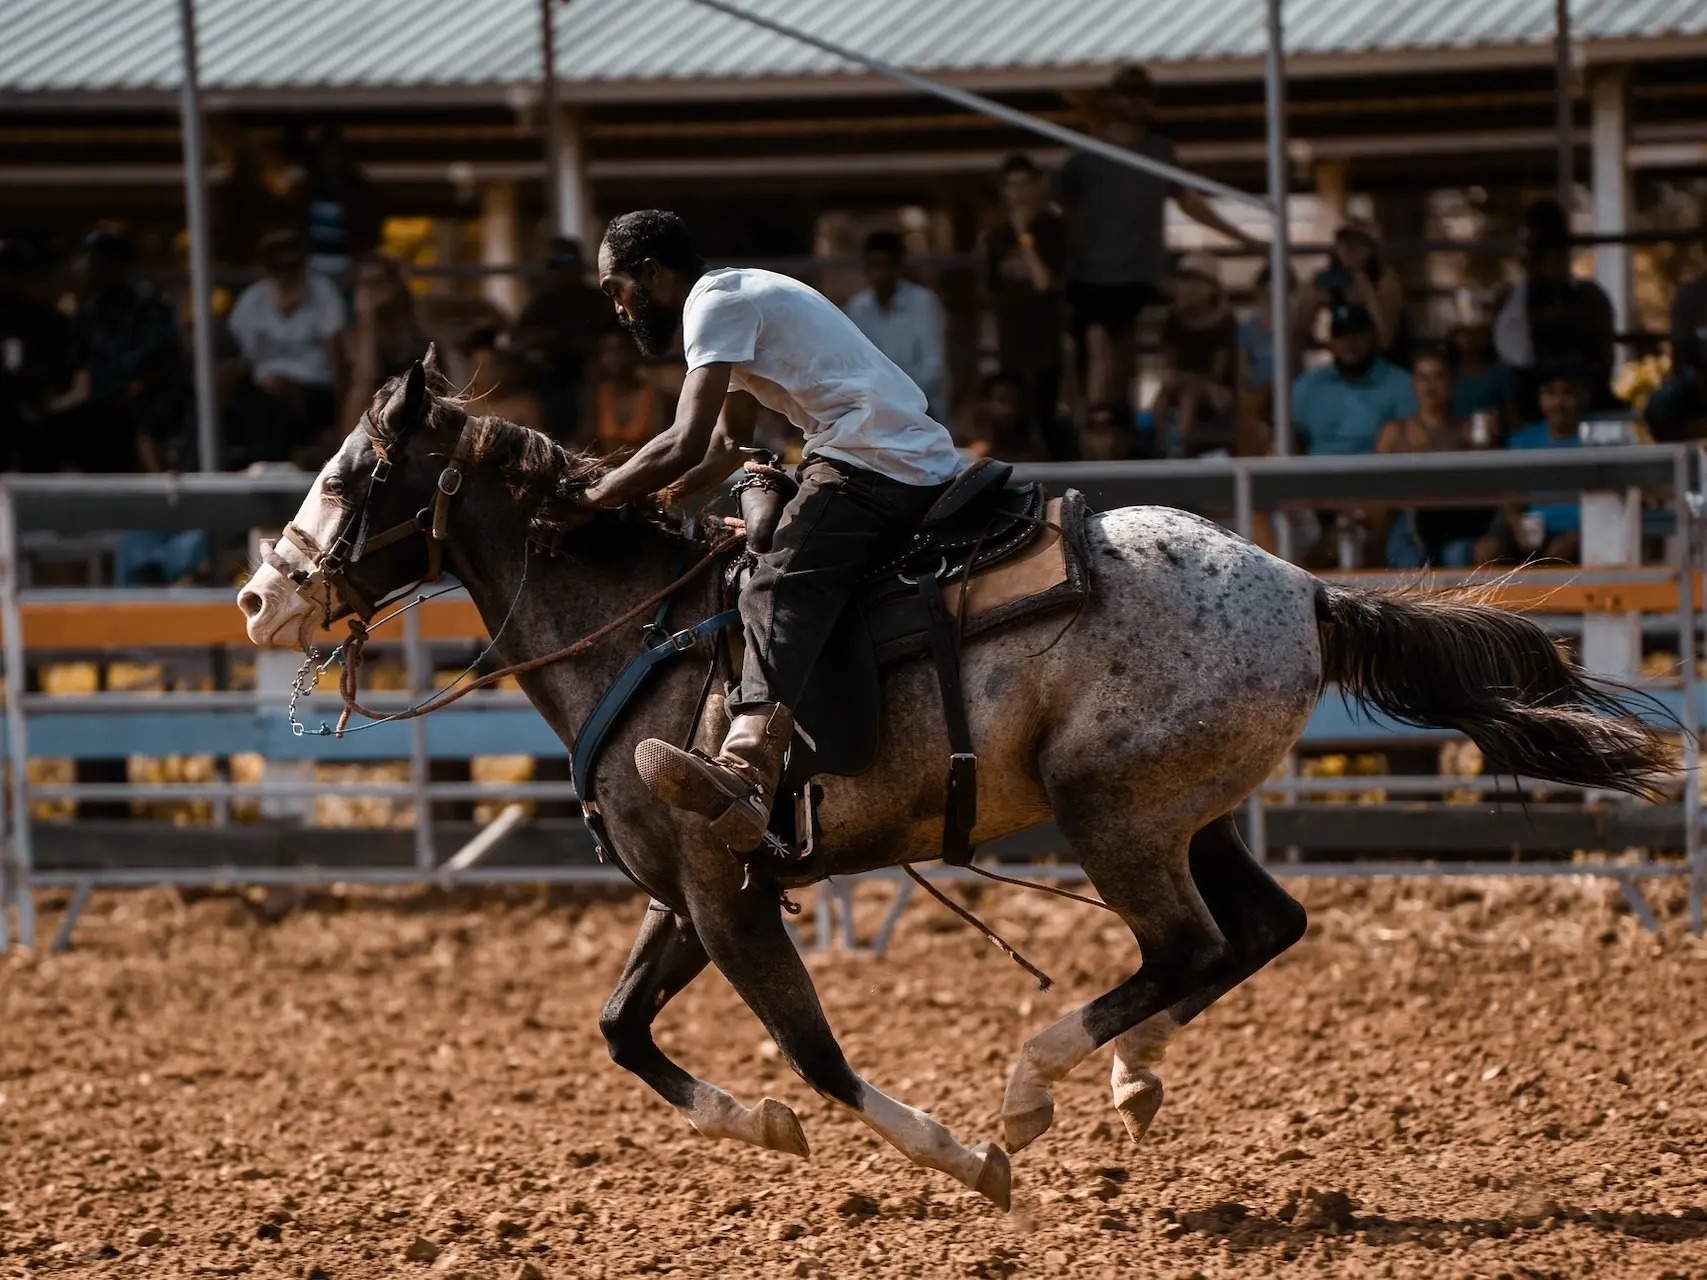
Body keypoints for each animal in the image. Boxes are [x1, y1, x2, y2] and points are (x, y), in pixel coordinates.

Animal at [237, 358, 1666, 1215]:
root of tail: (1308, 592)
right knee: (1254, 930)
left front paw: (959, 1155)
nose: (258, 595)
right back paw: (1127, 1076)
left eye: (354, 474)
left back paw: (1035, 1090)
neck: (640, 629)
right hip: (1189, 811)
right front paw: (760, 1126)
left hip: (1114, 814)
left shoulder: (726, 889)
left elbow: (816, 1051)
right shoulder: (692, 887)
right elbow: (620, 1027)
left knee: (1189, 944)